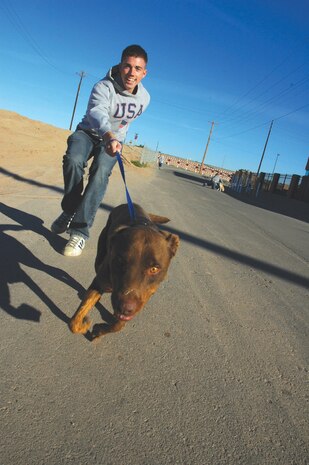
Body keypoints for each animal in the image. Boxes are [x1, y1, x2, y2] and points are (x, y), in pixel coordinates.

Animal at [67, 205, 178, 338]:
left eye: (154, 269)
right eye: (120, 261)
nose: (125, 308)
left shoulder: (143, 298)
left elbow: (119, 325)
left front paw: (99, 330)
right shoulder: (99, 282)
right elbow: (75, 321)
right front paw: (84, 325)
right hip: (99, 258)